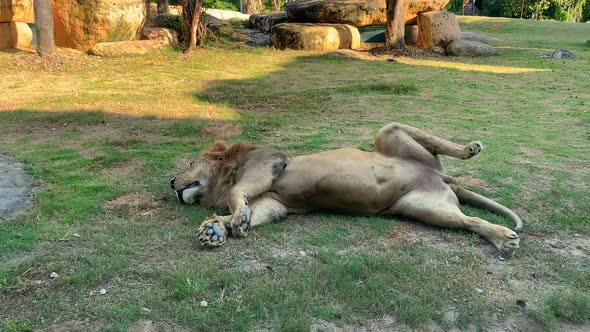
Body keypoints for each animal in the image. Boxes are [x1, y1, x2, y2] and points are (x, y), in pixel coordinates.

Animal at [170, 123, 524, 255]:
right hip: (421, 207)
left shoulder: (268, 164)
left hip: (389, 131)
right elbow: (250, 212)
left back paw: (470, 149)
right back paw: (501, 237)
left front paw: (227, 220)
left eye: (188, 164)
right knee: (469, 221)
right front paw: (216, 229)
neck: (224, 175)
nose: (171, 184)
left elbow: (237, 195)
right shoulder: (274, 202)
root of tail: (437, 176)